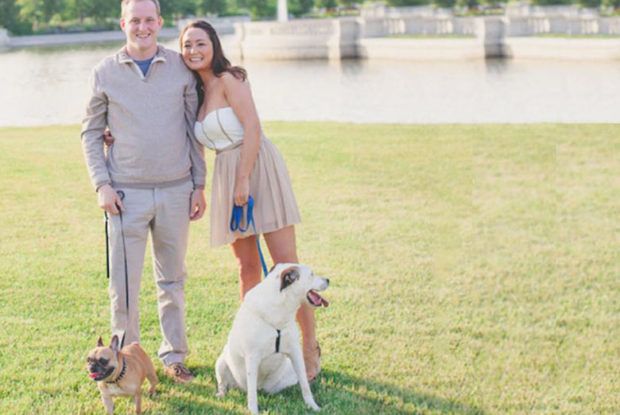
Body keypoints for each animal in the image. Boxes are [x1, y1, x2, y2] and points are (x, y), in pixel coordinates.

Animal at [215, 263, 329, 414]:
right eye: (311, 274)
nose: (328, 280)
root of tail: (262, 388)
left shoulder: (295, 353)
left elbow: (305, 385)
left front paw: (312, 406)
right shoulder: (252, 358)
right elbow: (252, 394)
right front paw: (253, 411)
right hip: (221, 363)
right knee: (226, 385)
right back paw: (221, 394)